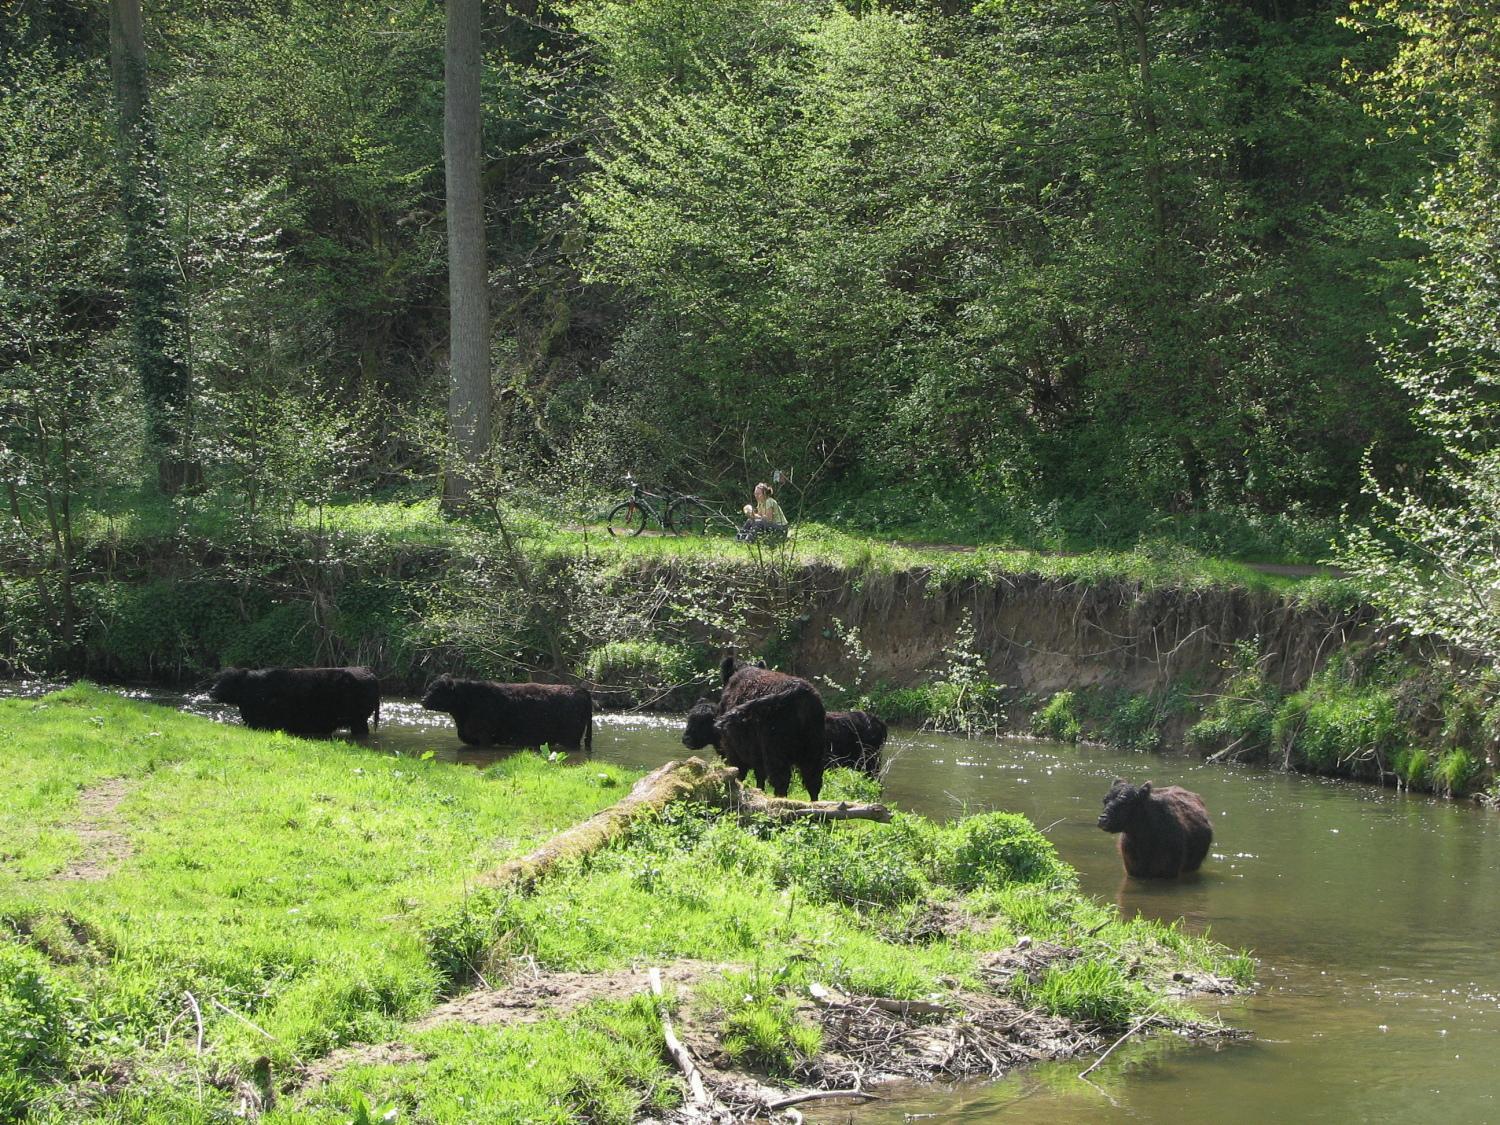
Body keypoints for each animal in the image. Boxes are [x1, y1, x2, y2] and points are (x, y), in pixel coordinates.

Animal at [420, 675, 594, 753]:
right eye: (429, 688)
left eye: (437, 690)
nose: (423, 700)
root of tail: (580, 690)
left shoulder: (484, 736)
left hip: (571, 738)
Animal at [684, 657, 828, 804]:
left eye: (700, 722)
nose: (686, 739)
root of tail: (799, 690)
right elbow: (760, 778)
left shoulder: (734, 752)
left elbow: (739, 774)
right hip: (813, 751)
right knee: (813, 782)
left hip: (776, 753)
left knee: (781, 782)